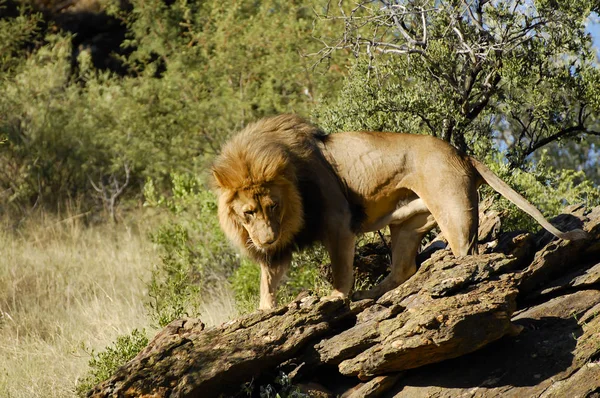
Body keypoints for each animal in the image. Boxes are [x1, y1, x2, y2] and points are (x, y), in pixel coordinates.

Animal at [213, 113, 588, 310]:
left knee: (468, 253)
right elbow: (267, 281)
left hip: (454, 214)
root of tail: (462, 154)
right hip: (407, 224)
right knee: (404, 269)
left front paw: (336, 298)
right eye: (248, 213)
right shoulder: (278, 247)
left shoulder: (337, 222)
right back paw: (371, 296)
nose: (266, 239)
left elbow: (340, 271)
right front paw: (264, 311)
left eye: (273, 206)